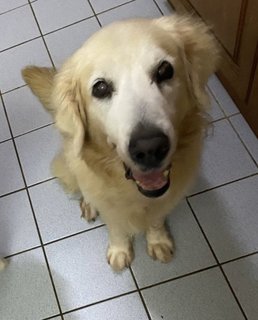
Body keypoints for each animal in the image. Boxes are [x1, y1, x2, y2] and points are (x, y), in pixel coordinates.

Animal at [22, 14, 218, 270]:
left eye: (164, 70)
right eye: (100, 88)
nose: (149, 148)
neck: (134, 192)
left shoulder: (165, 198)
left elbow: (156, 219)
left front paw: (158, 240)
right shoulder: (110, 207)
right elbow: (116, 227)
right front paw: (119, 250)